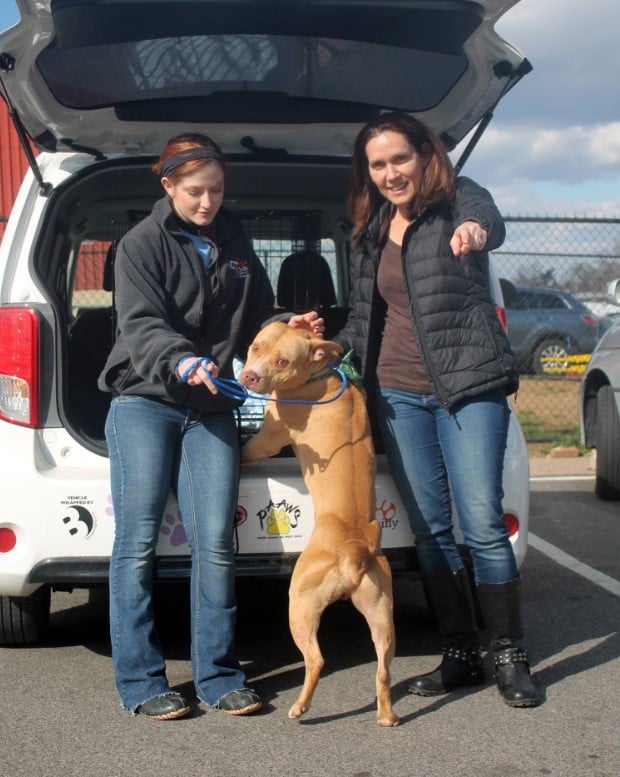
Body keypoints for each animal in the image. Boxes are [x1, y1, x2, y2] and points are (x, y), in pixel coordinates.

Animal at [240, 318, 400, 724]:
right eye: (255, 347)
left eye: (282, 361)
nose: (248, 376)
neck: (322, 371)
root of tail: (355, 550)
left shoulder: (267, 439)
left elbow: (249, 448)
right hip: (381, 613)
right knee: (383, 669)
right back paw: (387, 715)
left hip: (300, 603)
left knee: (316, 660)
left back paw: (300, 707)